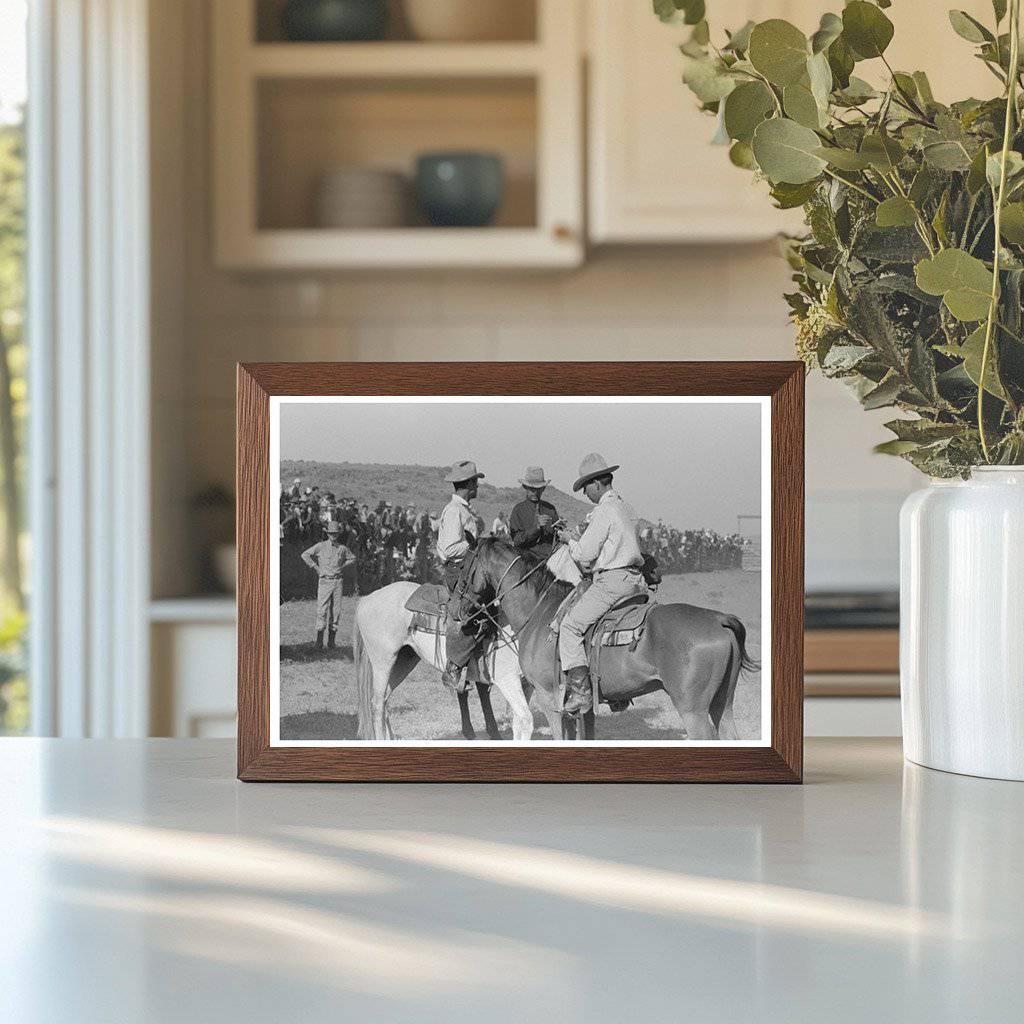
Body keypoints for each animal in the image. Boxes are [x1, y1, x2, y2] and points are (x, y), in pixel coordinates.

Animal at [354, 581, 536, 741]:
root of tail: (366, 599)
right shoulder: (508, 681)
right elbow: (526, 720)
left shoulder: (526, 685)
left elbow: (519, 721)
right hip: (383, 662)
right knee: (377, 704)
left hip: (403, 662)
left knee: (385, 701)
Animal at [452, 536, 757, 745]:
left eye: (463, 566)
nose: (459, 612)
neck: (539, 612)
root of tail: (719, 618)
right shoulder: (579, 708)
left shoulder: (549, 697)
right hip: (723, 703)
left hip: (693, 710)